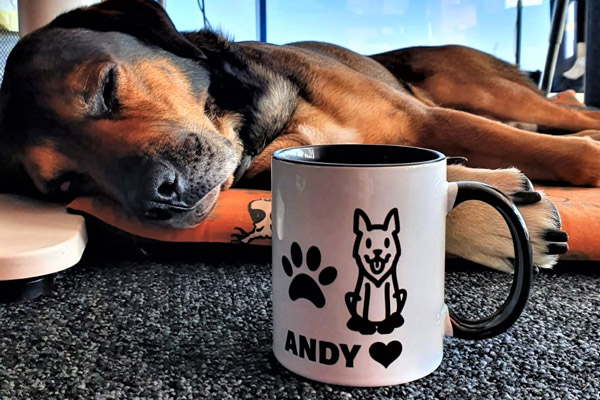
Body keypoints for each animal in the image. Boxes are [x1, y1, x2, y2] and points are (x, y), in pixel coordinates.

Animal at [2, 0, 592, 272]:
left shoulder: (426, 120)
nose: (157, 198)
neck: (263, 125)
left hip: (476, 90)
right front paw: (495, 219)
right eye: (66, 185)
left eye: (105, 87)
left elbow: (578, 157)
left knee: (568, 117)